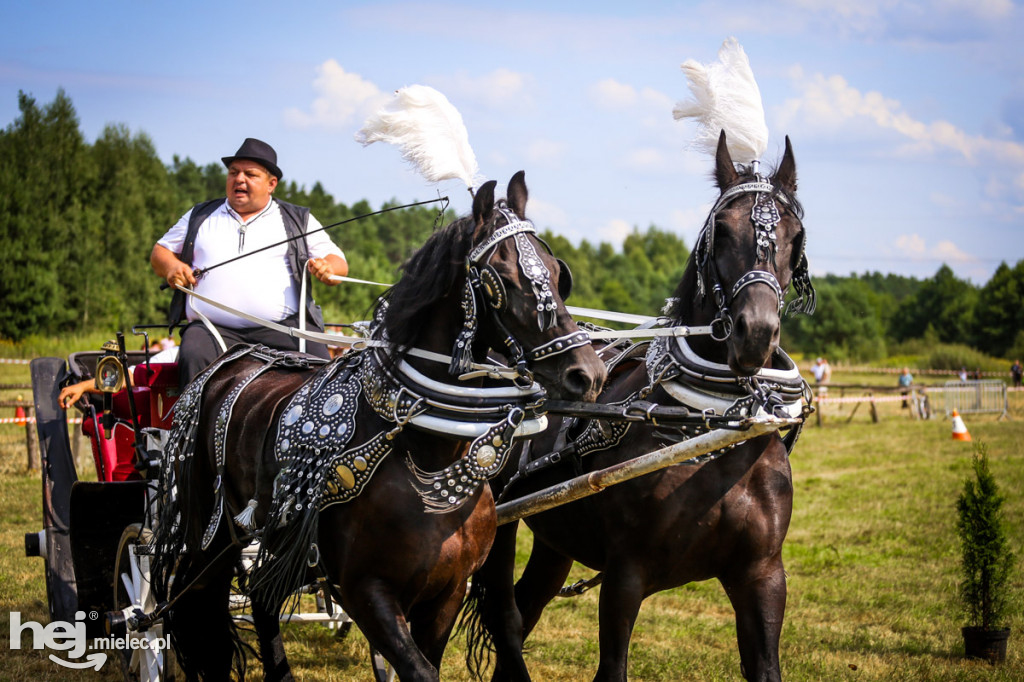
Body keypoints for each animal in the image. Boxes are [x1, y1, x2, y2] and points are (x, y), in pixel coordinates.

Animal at [151, 171, 606, 679]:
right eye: (503, 280)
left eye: (558, 274)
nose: (588, 374)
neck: (429, 450)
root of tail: (235, 357)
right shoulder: (365, 593)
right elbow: (418, 670)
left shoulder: (447, 593)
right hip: (208, 536)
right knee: (195, 605)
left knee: (262, 602)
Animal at [468, 134, 811, 679]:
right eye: (722, 229)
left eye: (795, 235)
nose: (755, 333)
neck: (711, 427)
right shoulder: (625, 577)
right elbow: (612, 667)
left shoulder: (762, 577)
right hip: (496, 526)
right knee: (503, 617)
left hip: (554, 538)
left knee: (523, 613)